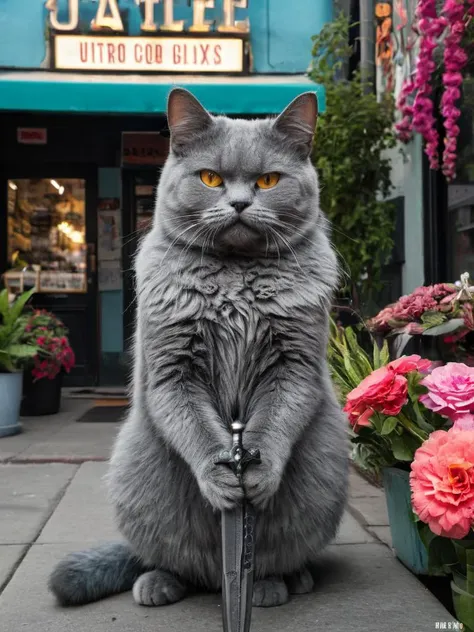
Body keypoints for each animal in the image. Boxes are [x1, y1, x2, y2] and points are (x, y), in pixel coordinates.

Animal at [49, 87, 348, 608]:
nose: (240, 203)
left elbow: (276, 421)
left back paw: (277, 583)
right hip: (135, 476)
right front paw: (220, 478)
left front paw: (258, 475)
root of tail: (215, 580)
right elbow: (195, 427)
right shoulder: (173, 369)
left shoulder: (295, 363)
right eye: (210, 178)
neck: (236, 277)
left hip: (324, 479)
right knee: (175, 560)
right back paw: (160, 582)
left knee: (274, 556)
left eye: (268, 180)